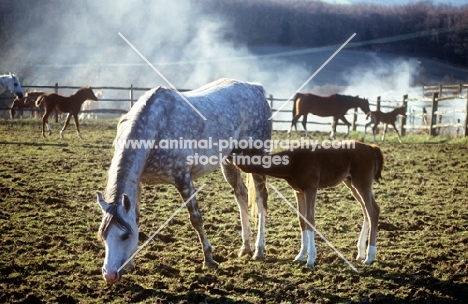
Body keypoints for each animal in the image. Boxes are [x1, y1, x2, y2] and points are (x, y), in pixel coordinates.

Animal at [96, 78, 270, 282]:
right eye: (103, 235)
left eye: (124, 236)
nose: (109, 274)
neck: (155, 127)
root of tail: (256, 89)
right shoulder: (137, 183)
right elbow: (135, 218)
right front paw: (130, 264)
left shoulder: (183, 179)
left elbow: (196, 219)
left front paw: (209, 260)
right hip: (230, 160)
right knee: (241, 195)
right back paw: (245, 247)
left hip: (256, 159)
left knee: (261, 200)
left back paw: (259, 250)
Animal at [229, 141, 382, 268]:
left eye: (239, 150)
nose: (228, 156)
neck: (293, 162)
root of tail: (371, 147)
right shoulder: (299, 191)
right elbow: (302, 219)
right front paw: (300, 256)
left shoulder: (311, 188)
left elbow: (310, 218)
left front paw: (311, 259)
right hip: (350, 183)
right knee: (366, 211)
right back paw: (361, 253)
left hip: (362, 182)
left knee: (373, 210)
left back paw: (369, 257)